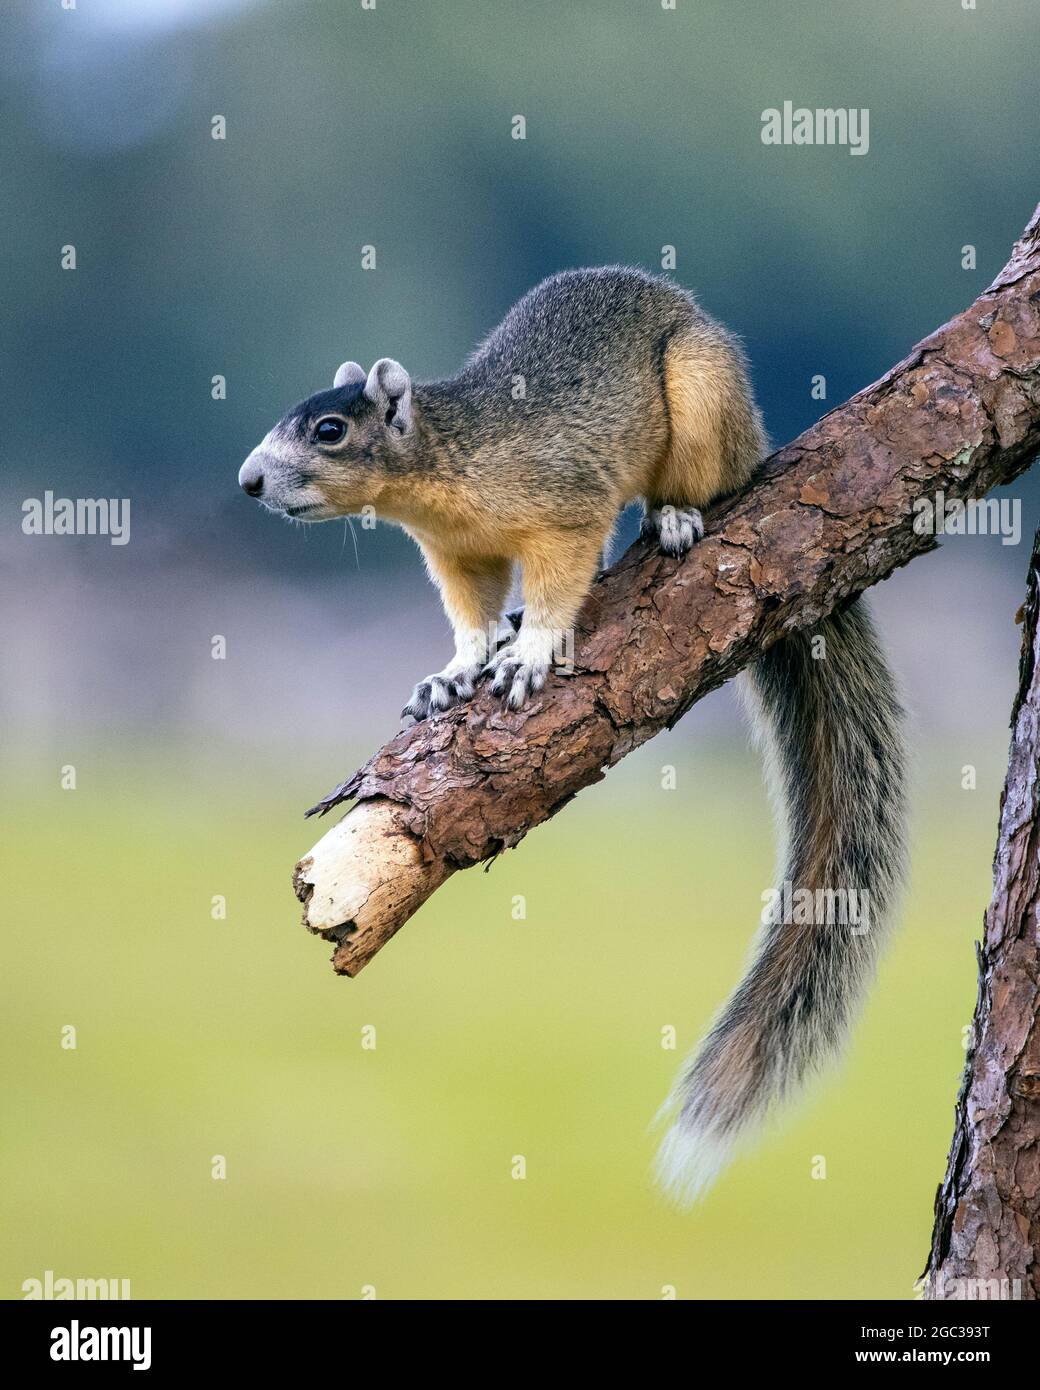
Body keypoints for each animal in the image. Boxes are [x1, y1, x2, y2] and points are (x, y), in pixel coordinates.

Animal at [239, 265, 906, 1200]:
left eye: (330, 430)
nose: (248, 482)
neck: (444, 464)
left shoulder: (562, 508)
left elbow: (561, 582)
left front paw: (533, 650)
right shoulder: (458, 555)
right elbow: (471, 613)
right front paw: (460, 667)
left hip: (703, 398)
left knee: (703, 484)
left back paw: (674, 518)